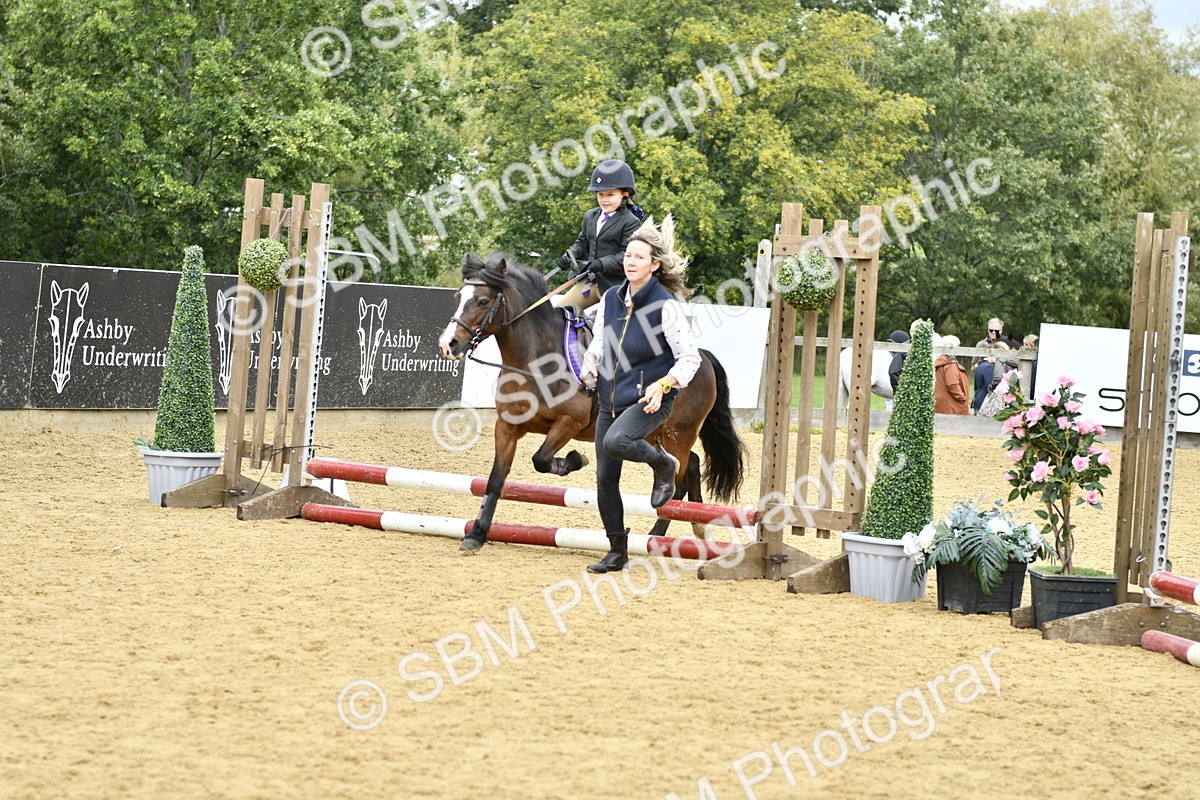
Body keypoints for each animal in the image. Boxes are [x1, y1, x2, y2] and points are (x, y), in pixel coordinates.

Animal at [438, 253, 746, 552]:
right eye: (457, 297)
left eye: (483, 301)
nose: (448, 344)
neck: (536, 361)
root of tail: (700, 356)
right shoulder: (507, 427)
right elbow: (495, 481)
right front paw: (476, 534)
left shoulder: (569, 422)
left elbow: (541, 459)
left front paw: (574, 460)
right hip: (653, 433)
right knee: (690, 464)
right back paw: (699, 527)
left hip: (678, 434)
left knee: (678, 478)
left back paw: (657, 536)